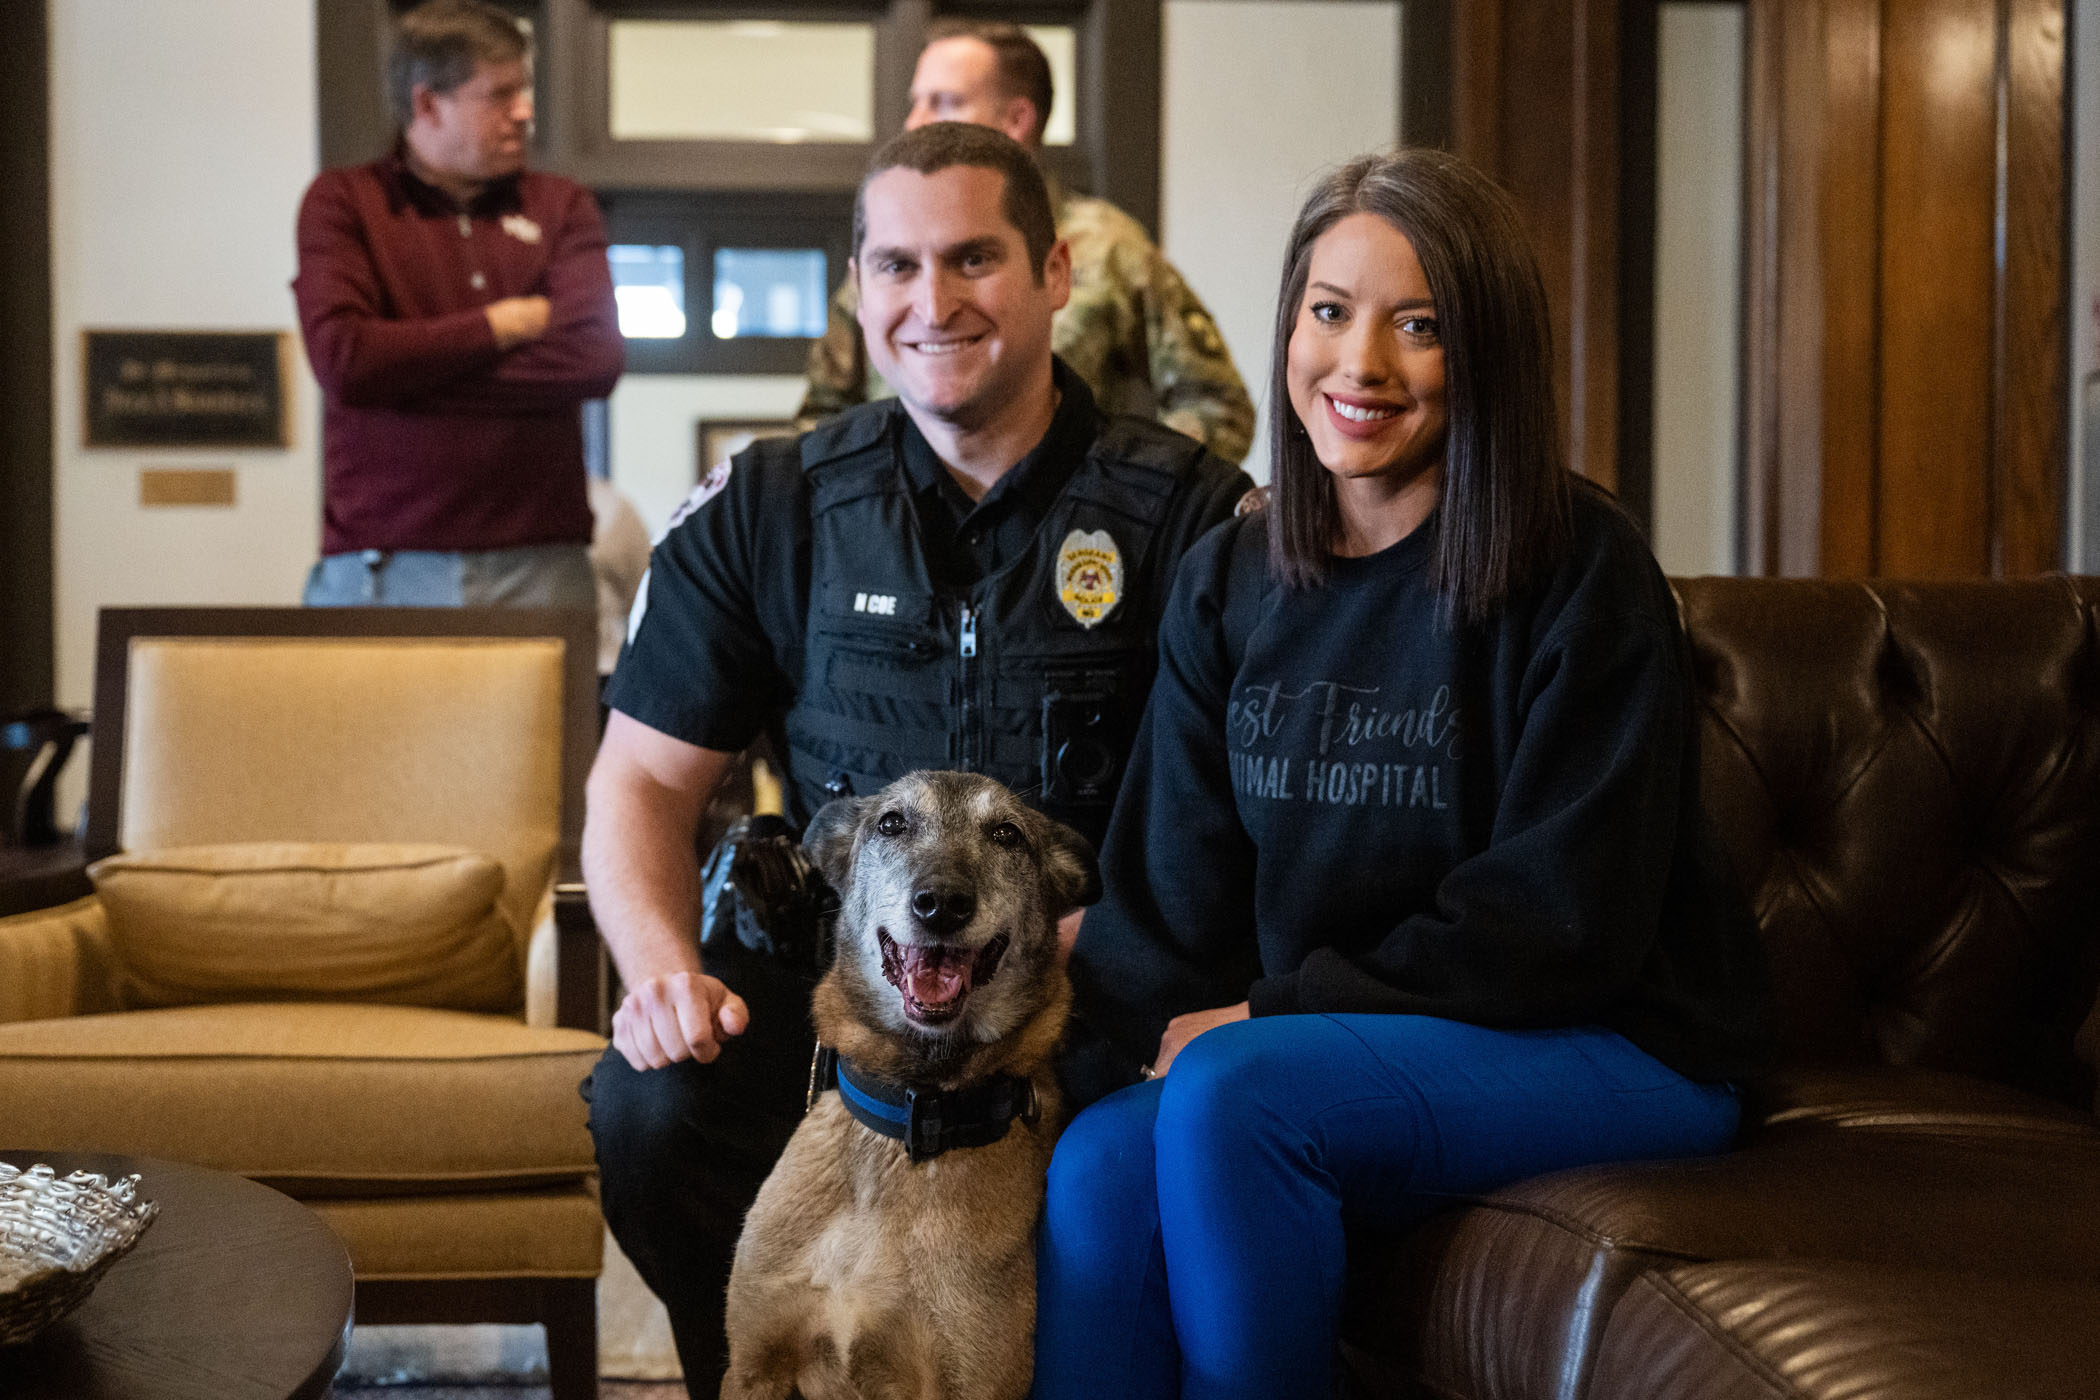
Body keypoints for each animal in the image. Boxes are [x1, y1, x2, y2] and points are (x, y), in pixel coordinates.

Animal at [722, 768, 1100, 1400]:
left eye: (1007, 834)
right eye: (891, 823)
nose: (941, 904)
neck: (910, 1114)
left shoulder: (974, 1382)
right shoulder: (753, 1366)